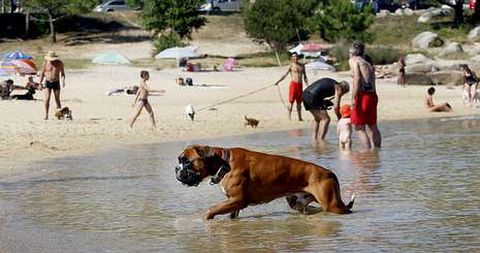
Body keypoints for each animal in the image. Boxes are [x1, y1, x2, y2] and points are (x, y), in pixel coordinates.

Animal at [174, 145, 354, 220]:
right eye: (180, 161)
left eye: (187, 162)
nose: (176, 169)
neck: (224, 163)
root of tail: (328, 172)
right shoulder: (234, 203)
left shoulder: (238, 200)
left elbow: (211, 209)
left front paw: (205, 218)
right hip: (297, 202)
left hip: (332, 205)